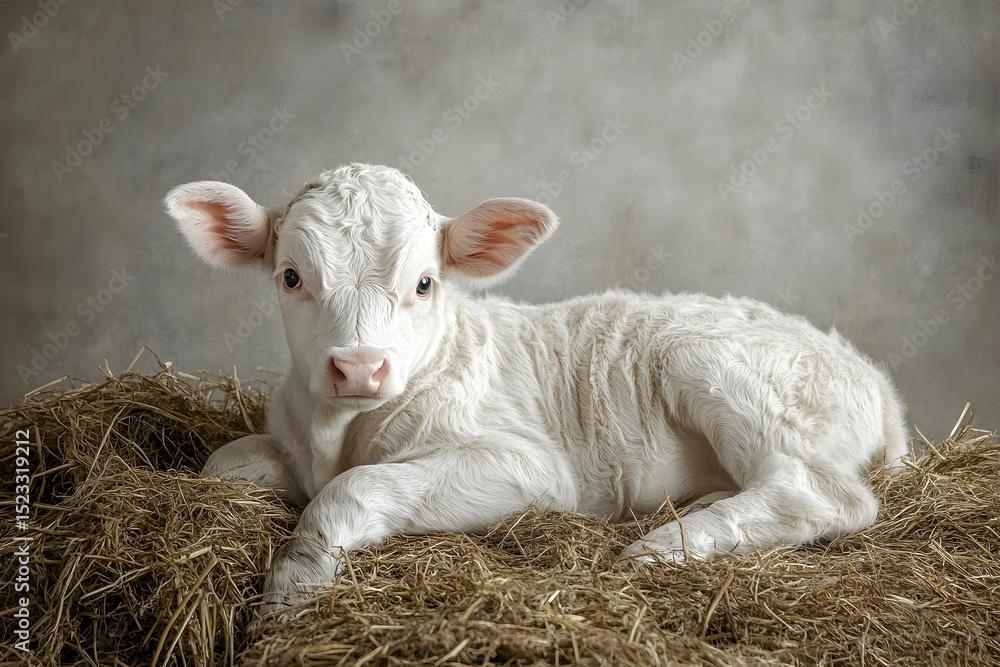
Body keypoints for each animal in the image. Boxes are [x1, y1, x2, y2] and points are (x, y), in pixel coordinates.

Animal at [164, 163, 908, 614]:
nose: (359, 367)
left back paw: (665, 545)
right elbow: (222, 462)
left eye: (424, 283)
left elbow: (357, 488)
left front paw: (290, 595)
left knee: (822, 493)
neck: (336, 434)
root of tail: (873, 377)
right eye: (291, 276)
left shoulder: (532, 467)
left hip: (712, 363)